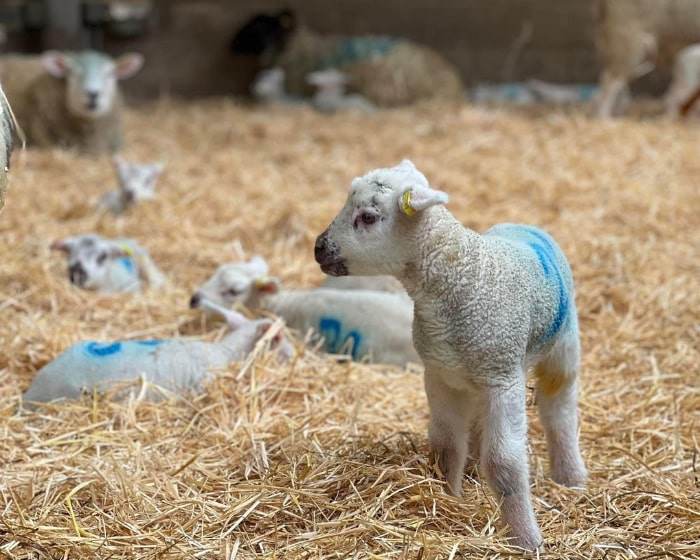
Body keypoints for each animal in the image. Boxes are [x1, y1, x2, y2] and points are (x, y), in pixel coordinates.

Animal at [314, 160, 587, 550]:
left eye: (367, 217)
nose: (318, 248)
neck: (461, 276)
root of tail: (523, 224)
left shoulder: (503, 378)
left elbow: (504, 462)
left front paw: (525, 538)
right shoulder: (440, 375)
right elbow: (445, 447)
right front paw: (449, 497)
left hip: (562, 344)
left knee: (559, 407)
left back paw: (570, 475)